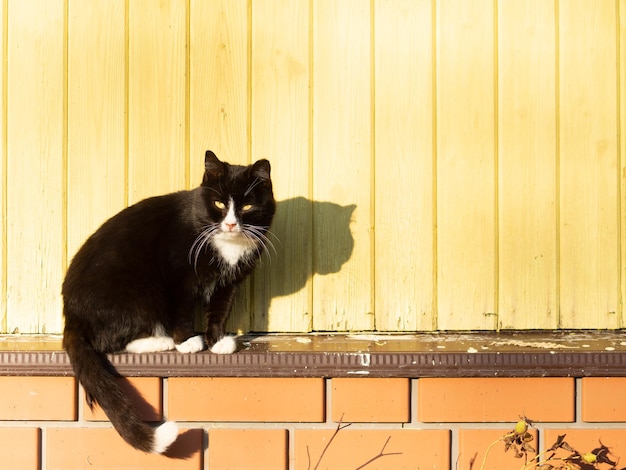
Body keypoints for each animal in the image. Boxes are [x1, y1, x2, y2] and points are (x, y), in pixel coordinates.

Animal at [62, 151, 274, 452]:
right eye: (219, 203)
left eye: (246, 206)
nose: (232, 224)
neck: (227, 245)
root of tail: (71, 316)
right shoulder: (178, 276)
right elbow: (182, 309)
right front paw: (187, 342)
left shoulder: (228, 283)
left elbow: (220, 310)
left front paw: (217, 341)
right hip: (138, 291)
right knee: (108, 341)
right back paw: (161, 340)